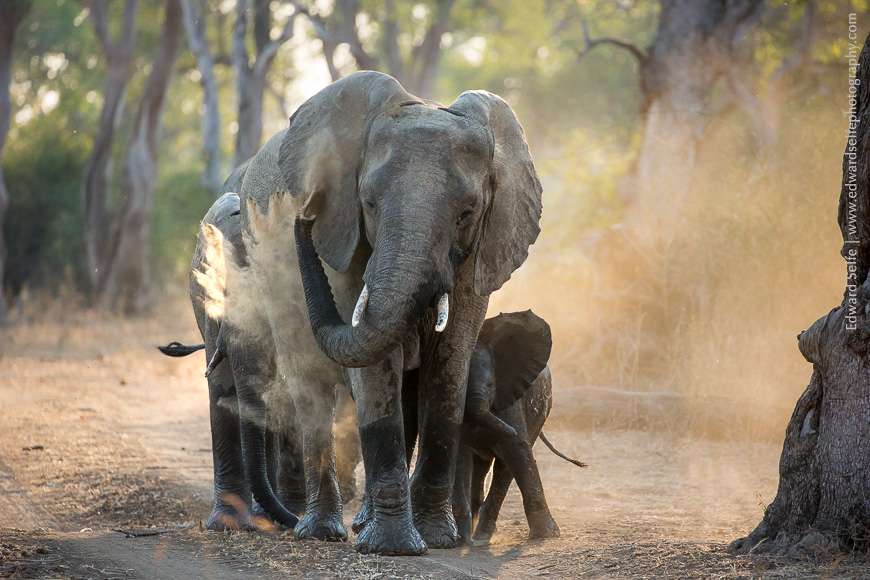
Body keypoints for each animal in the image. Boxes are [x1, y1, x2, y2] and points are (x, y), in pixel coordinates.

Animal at [242, 70, 543, 555]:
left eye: (467, 213)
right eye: (368, 203)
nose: (304, 215)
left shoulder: (480, 253)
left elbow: (449, 363)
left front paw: (438, 540)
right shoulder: (346, 240)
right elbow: (376, 368)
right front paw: (394, 548)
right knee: (309, 388)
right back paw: (324, 531)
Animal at [450, 311, 587, 546]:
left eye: (490, 385)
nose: (582, 463)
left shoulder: (509, 401)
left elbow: (516, 450)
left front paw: (548, 535)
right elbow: (460, 456)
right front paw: (462, 539)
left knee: (503, 466)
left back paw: (482, 534)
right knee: (483, 466)